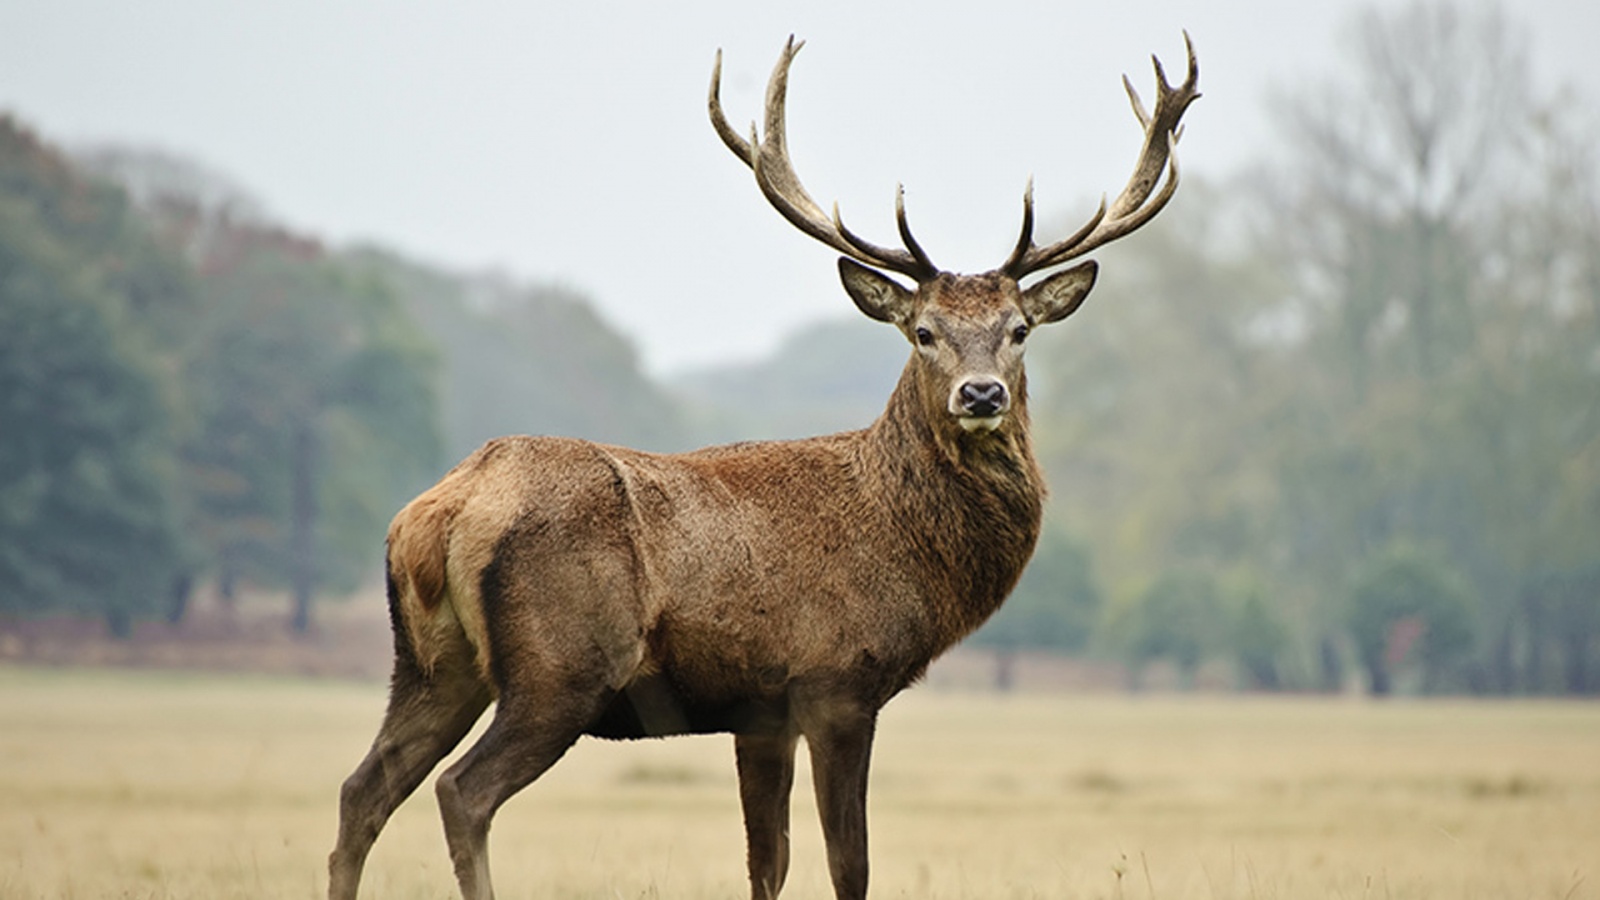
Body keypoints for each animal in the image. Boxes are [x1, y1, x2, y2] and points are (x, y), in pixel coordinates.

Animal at [328, 31, 1203, 890]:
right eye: (922, 331)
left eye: (1019, 328)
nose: (981, 393)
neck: (906, 548)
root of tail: (439, 510)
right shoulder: (836, 682)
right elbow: (849, 863)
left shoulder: (759, 713)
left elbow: (768, 863)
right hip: (559, 668)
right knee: (461, 791)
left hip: (433, 665)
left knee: (362, 789)